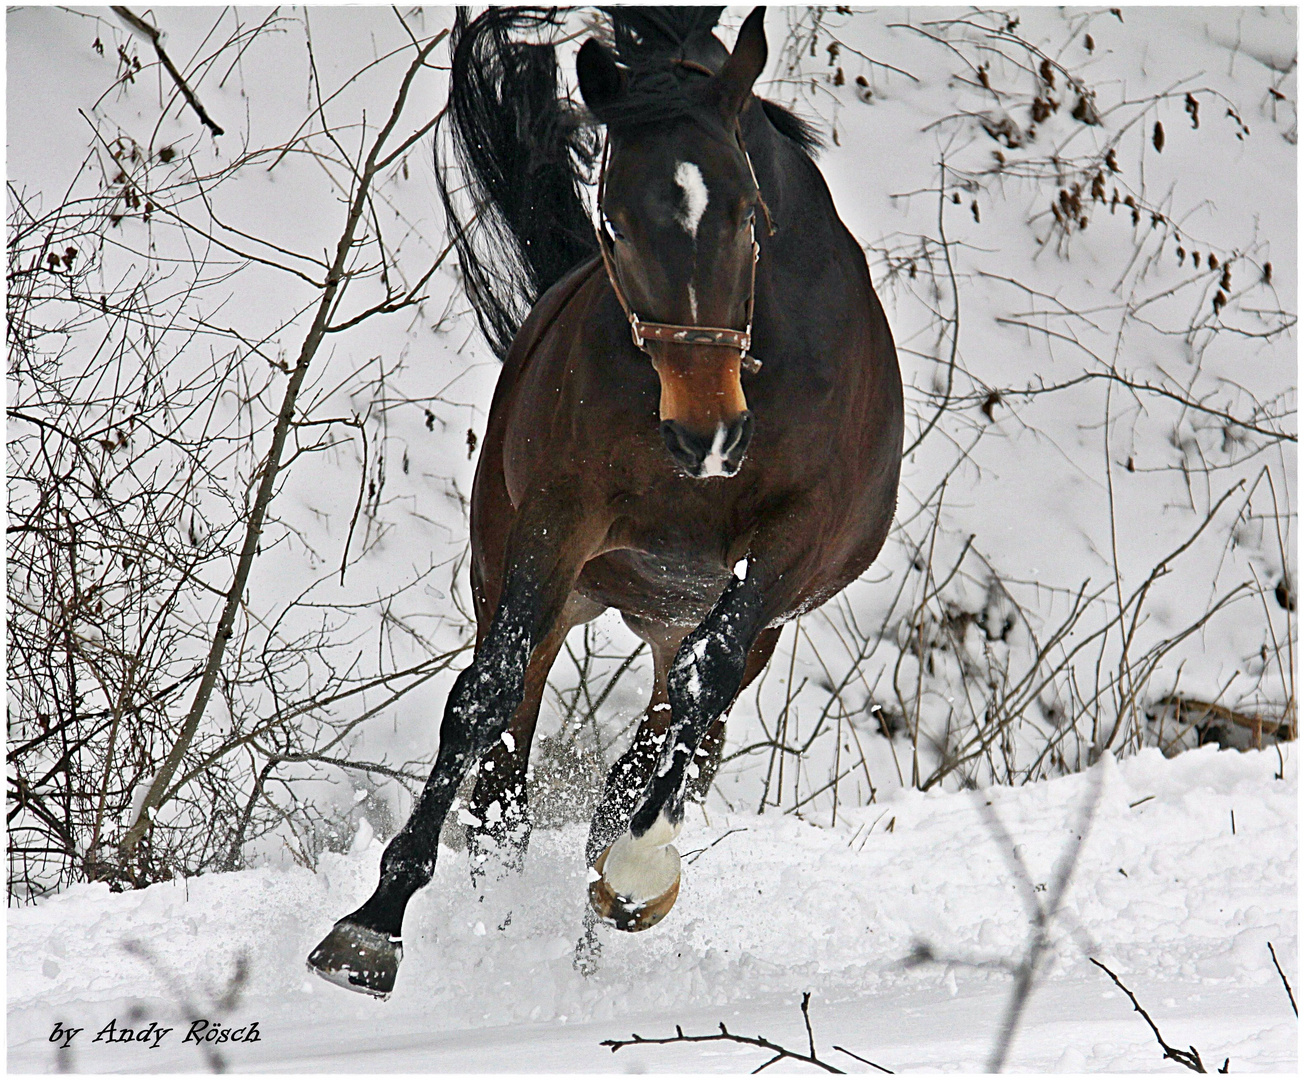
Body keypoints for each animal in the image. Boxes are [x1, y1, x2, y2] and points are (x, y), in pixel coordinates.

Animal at [306, 6, 902, 996]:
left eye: (748, 216)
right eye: (613, 223)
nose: (707, 433)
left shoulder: (786, 549)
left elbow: (697, 692)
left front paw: (637, 876)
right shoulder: (560, 518)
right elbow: (484, 696)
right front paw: (373, 925)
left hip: (717, 620)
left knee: (668, 744)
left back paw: (605, 913)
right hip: (549, 580)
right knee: (506, 781)